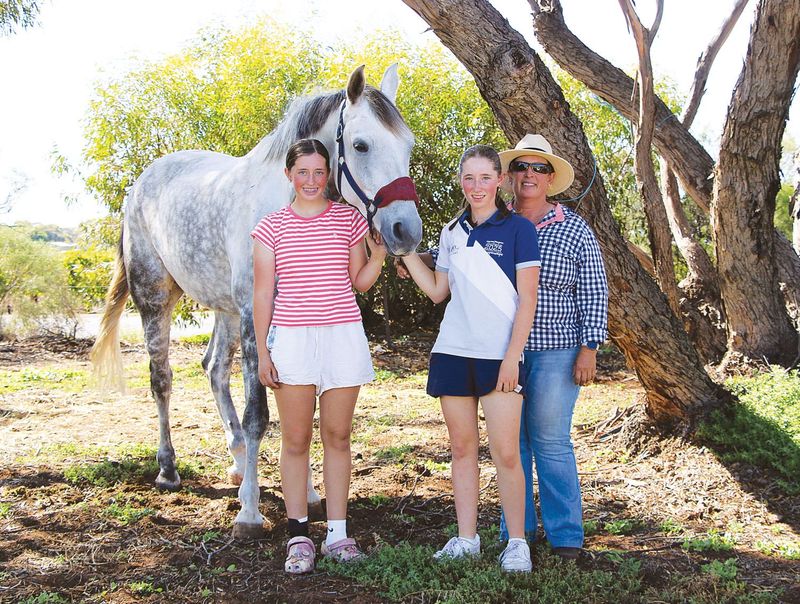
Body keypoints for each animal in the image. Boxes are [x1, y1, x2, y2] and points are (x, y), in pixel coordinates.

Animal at [91, 65, 423, 538]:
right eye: (361, 144)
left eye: (407, 146)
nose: (405, 231)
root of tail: (141, 184)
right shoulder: (255, 317)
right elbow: (259, 413)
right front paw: (249, 510)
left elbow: (299, 410)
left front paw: (308, 492)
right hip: (156, 298)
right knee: (162, 380)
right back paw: (169, 469)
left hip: (224, 310)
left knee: (213, 369)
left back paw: (236, 459)